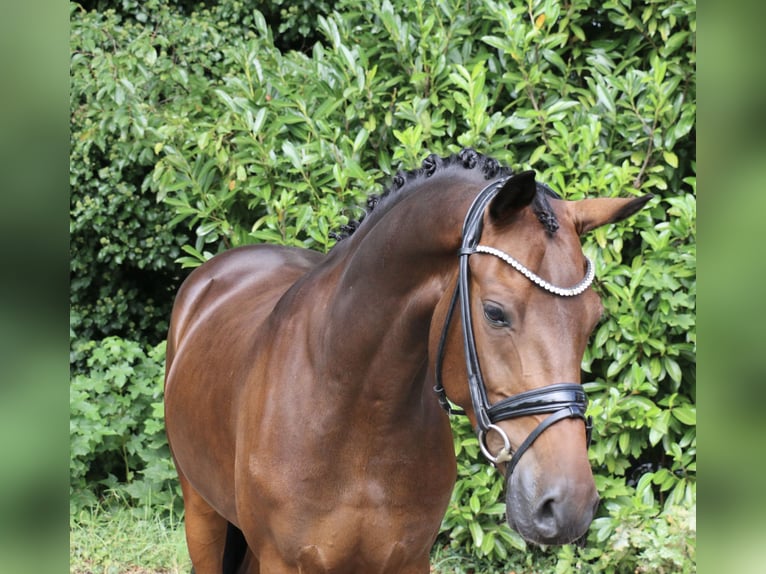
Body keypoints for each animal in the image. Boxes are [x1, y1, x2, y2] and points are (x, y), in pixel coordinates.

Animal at [164, 150, 656, 574]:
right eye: (495, 312)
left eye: (592, 320)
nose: (568, 504)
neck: (355, 418)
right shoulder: (282, 563)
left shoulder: (408, 560)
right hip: (202, 516)